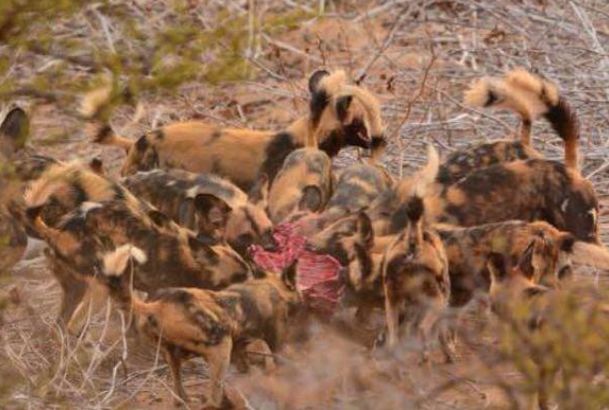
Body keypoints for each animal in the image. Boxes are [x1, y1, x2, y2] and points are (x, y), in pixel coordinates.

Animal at [97, 243, 302, 406]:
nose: (303, 300)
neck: (268, 286)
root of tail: (158, 304)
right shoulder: (274, 343)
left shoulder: (238, 349)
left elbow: (249, 372)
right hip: (221, 349)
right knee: (213, 400)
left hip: (176, 357)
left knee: (179, 396)